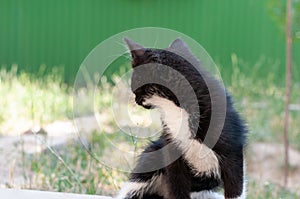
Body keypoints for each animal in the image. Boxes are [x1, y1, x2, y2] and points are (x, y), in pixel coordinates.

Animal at [116, 37, 247, 199]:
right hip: (152, 156)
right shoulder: (171, 147)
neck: (179, 110)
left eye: (135, 81)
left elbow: (235, 186)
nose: (135, 100)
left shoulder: (232, 147)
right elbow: (176, 184)